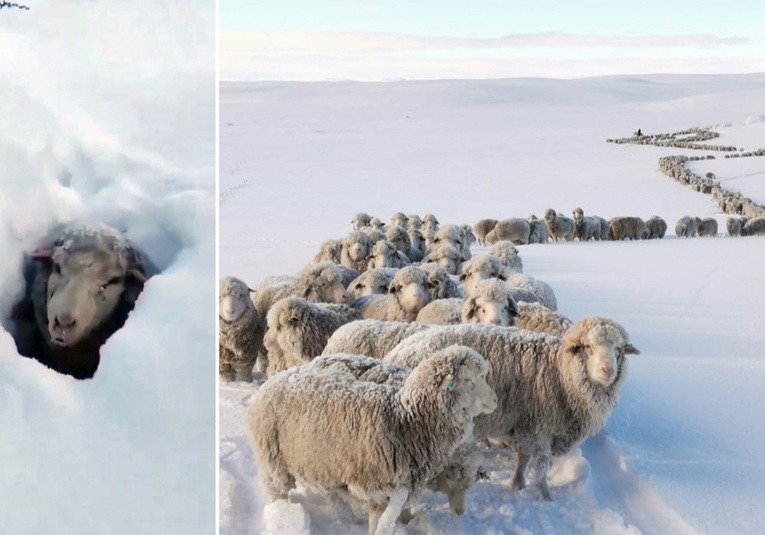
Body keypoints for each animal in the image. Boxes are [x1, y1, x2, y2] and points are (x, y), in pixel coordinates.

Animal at [248, 346, 498, 532]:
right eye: (469, 379)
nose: (495, 400)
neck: (405, 418)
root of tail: (273, 380)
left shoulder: (394, 482)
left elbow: (388, 510)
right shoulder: (373, 481)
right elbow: (391, 507)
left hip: (320, 460)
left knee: (326, 490)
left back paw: (344, 515)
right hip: (274, 463)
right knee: (277, 492)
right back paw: (282, 515)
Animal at [382, 316, 640, 500]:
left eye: (619, 349)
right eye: (587, 347)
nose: (608, 371)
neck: (561, 373)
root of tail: (396, 352)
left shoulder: (527, 423)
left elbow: (524, 458)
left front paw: (517, 483)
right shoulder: (540, 427)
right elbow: (541, 464)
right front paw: (544, 495)